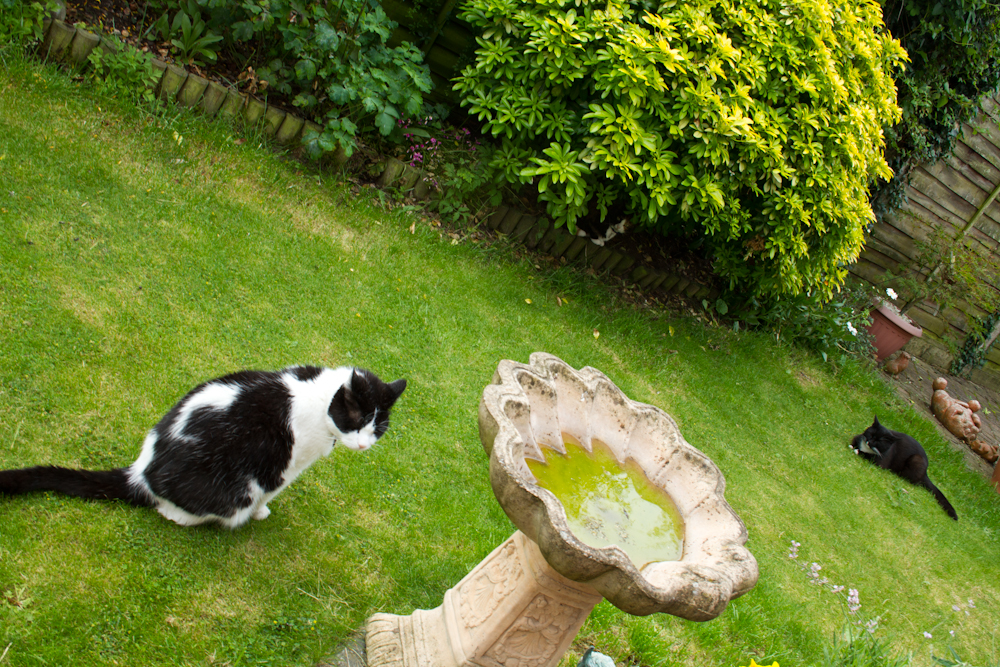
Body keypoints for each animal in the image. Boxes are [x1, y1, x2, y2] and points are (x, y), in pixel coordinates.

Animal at [0, 365, 406, 528]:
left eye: (378, 429)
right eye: (356, 420)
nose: (363, 445)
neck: (320, 400)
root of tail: (141, 472)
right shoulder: (283, 466)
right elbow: (270, 491)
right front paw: (261, 513)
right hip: (232, 491)